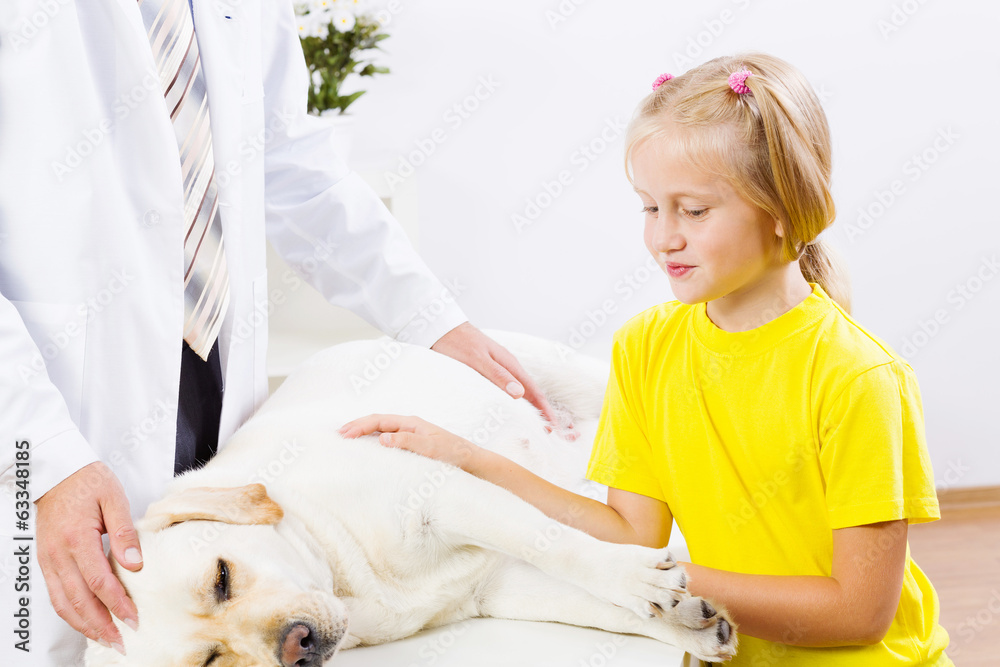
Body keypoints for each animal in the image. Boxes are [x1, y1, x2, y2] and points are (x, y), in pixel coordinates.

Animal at [84, 332, 736, 664]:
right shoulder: (498, 587)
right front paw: (688, 626)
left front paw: (640, 581)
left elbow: (563, 550)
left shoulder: (444, 494)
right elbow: (604, 610)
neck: (344, 576)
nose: (297, 645)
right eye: (209, 662)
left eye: (221, 577)